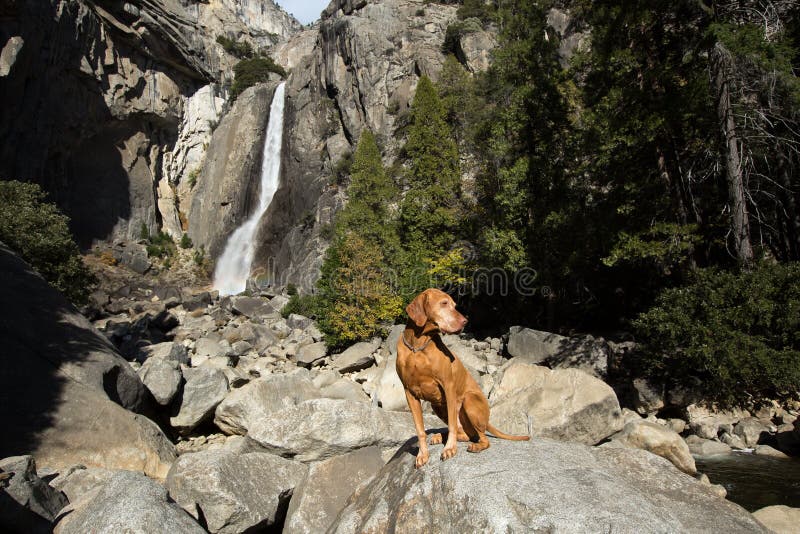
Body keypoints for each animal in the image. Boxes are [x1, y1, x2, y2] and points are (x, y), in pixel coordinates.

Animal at [396, 288, 532, 468]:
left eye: (454, 305)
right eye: (444, 303)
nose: (465, 321)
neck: (418, 346)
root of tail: (487, 419)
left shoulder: (448, 386)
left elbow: (452, 425)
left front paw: (449, 448)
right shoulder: (409, 393)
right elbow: (420, 430)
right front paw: (422, 454)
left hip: (469, 401)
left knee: (483, 438)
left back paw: (473, 445)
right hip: (437, 406)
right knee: (469, 434)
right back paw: (440, 436)